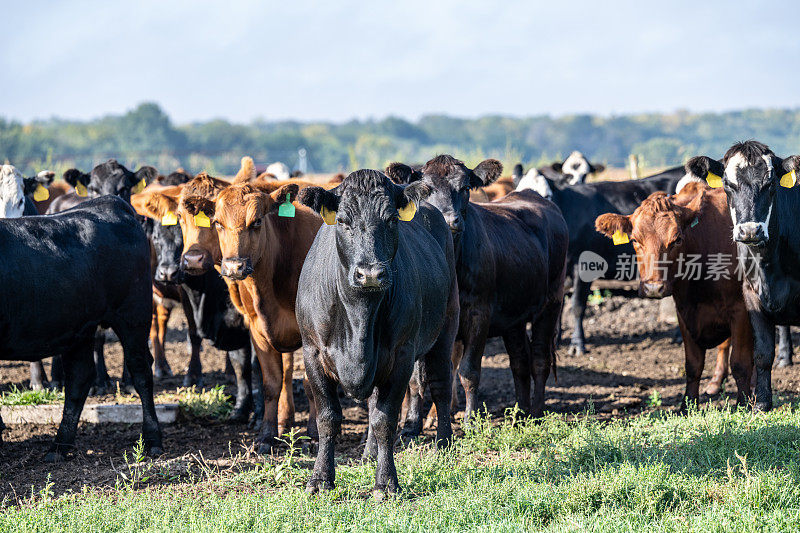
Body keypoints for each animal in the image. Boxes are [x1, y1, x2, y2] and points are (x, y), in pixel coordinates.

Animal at [0, 195, 162, 458]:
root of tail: (109, 202)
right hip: (79, 328)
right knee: (80, 376)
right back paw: (60, 446)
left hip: (133, 314)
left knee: (141, 371)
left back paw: (152, 440)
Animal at [296, 169, 460, 494]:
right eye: (343, 220)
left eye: (391, 220)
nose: (370, 273)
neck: (359, 315)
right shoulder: (312, 353)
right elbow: (328, 418)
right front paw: (320, 478)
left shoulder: (401, 355)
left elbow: (386, 419)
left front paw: (386, 482)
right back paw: (370, 453)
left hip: (446, 327)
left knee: (440, 384)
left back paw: (444, 444)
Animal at [388, 155, 568, 424]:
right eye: (426, 189)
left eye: (465, 187)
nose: (449, 220)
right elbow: (416, 379)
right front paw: (410, 423)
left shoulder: (478, 315)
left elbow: (468, 371)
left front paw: (470, 419)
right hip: (514, 316)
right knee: (519, 360)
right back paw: (520, 413)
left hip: (551, 303)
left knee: (539, 359)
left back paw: (536, 411)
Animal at [592, 183, 756, 408]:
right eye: (634, 239)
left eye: (677, 239)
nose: (653, 288)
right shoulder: (685, 312)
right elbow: (693, 364)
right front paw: (687, 405)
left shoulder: (741, 310)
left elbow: (740, 362)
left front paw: (743, 405)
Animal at [684, 139, 800, 410]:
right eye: (728, 184)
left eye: (770, 184)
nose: (750, 231)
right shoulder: (751, 294)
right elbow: (763, 353)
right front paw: (762, 403)